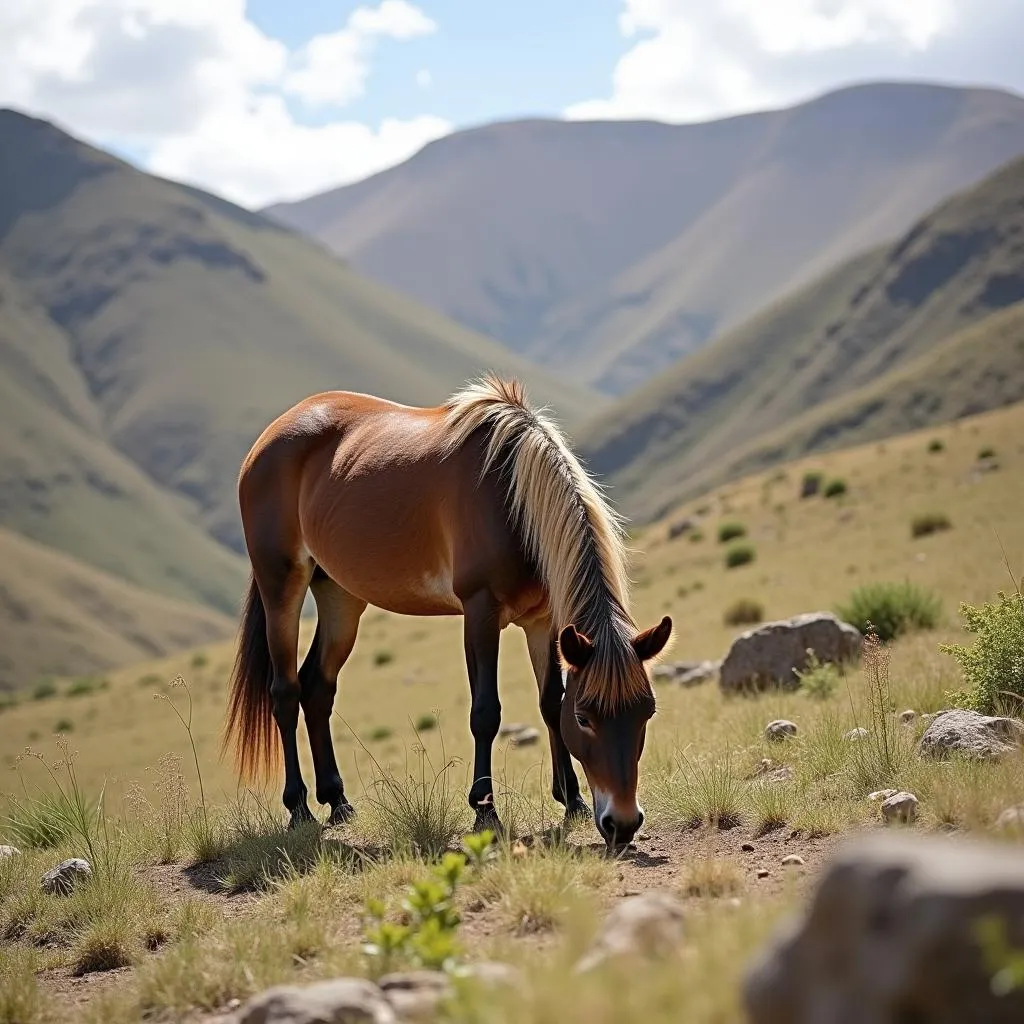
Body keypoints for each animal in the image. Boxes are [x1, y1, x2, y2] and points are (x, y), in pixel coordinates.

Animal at [222, 374, 671, 847]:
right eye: (585, 718)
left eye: (646, 712)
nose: (622, 823)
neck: (513, 501)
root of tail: (268, 439)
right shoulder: (480, 611)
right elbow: (486, 713)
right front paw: (485, 811)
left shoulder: (544, 621)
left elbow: (550, 702)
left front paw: (572, 801)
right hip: (281, 584)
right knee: (286, 692)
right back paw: (300, 809)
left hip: (340, 596)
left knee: (317, 688)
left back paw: (338, 801)